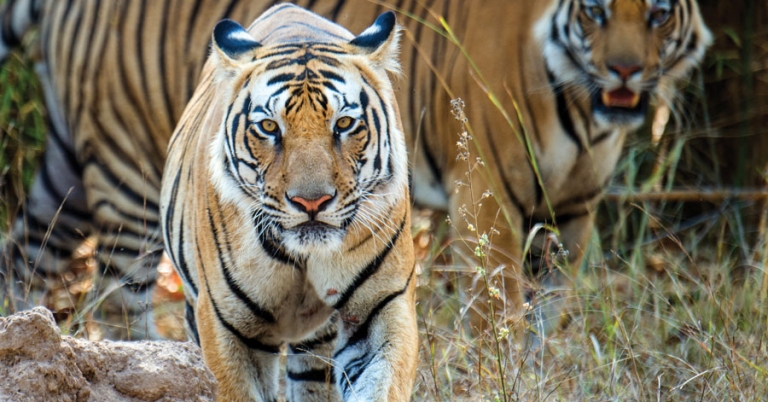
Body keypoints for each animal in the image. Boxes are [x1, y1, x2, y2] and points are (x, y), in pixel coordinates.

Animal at [0, 0, 711, 338]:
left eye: (658, 12)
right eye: (594, 10)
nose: (626, 72)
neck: (585, 113)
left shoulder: (574, 211)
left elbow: (548, 315)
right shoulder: (486, 198)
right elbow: (498, 313)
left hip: (67, 164)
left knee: (25, 256)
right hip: (130, 171)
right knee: (120, 300)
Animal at [160, 4, 416, 401]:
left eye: (344, 123)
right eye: (268, 127)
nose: (312, 202)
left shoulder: (382, 305)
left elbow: (382, 383)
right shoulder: (225, 324)